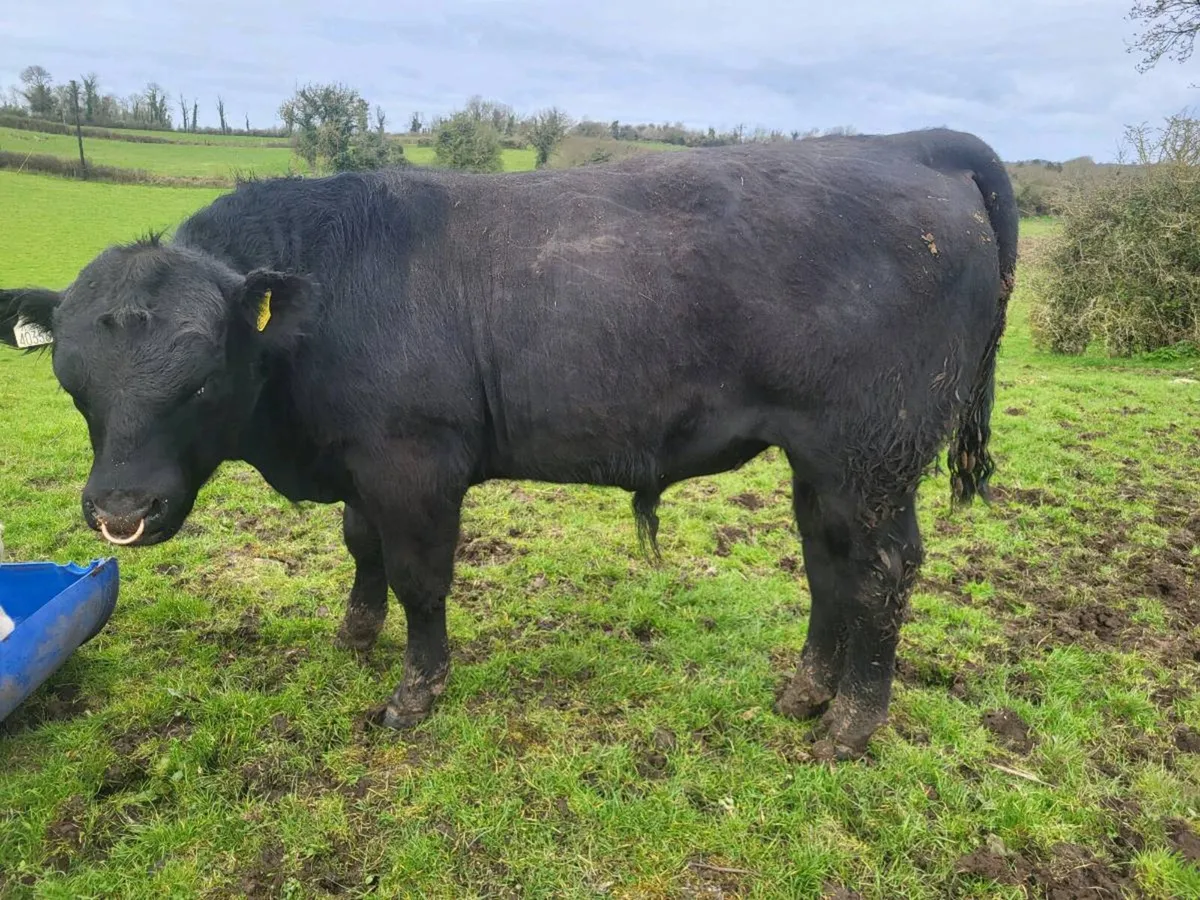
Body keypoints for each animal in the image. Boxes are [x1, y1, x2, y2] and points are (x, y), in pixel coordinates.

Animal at [0, 128, 1017, 758]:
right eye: (73, 382)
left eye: (203, 377)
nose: (120, 513)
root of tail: (907, 144)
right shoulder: (362, 463)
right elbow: (361, 550)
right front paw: (355, 634)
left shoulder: (414, 464)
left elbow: (420, 578)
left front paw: (415, 691)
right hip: (828, 464)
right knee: (827, 562)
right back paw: (806, 693)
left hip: (872, 452)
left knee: (881, 572)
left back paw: (851, 724)